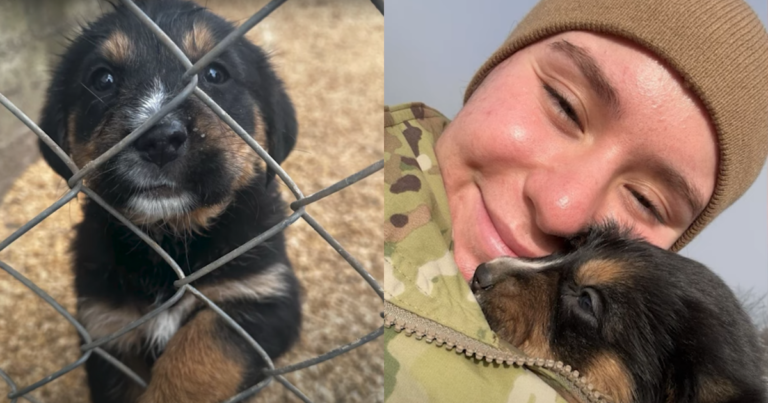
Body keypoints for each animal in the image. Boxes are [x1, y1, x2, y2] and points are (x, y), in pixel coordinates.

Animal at [37, 1, 300, 402]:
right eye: (102, 80)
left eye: (215, 74)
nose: (159, 139)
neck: (170, 242)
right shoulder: (106, 328)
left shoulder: (265, 297)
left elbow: (201, 351)